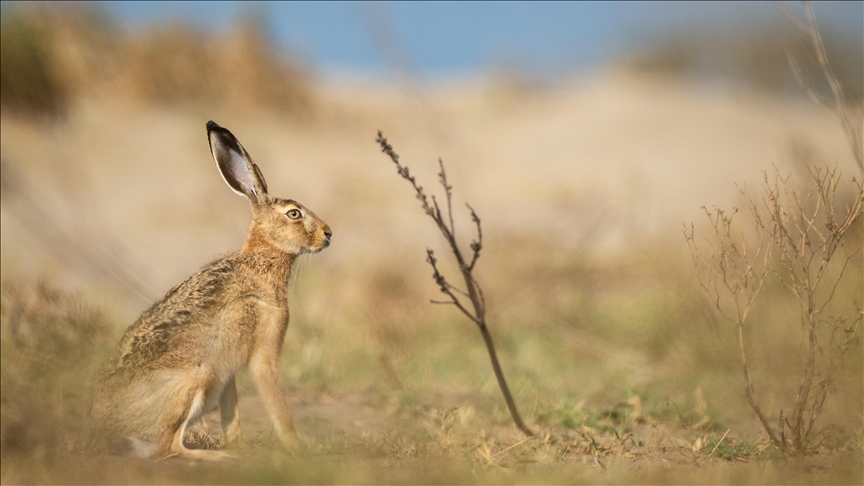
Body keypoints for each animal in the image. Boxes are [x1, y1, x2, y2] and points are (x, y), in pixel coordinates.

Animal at [89, 121, 332, 461]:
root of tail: (105, 432)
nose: (328, 234)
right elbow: (277, 405)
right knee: (168, 447)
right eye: (294, 213)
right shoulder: (263, 353)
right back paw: (220, 457)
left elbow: (232, 410)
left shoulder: (229, 369)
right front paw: (299, 448)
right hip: (194, 377)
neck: (261, 261)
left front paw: (239, 442)